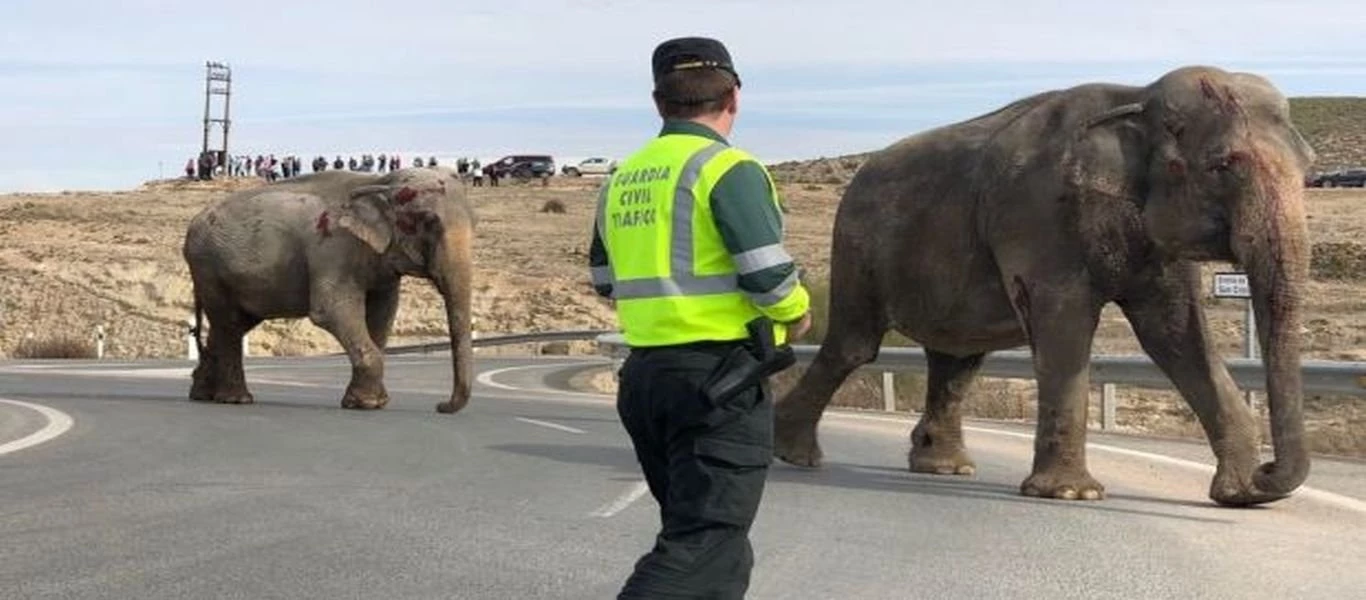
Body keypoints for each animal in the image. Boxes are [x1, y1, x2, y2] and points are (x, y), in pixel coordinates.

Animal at [181, 166, 478, 415]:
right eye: (429, 222)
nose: (441, 406)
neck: (379, 180)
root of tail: (193, 223)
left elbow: (383, 313)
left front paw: (370, 401)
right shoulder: (332, 247)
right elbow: (331, 310)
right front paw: (367, 404)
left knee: (232, 324)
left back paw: (202, 394)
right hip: (208, 268)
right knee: (229, 323)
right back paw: (236, 399)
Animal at [770, 65, 1311, 508]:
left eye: (1308, 166)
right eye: (1224, 165)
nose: (1267, 472)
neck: (1137, 97)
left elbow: (1177, 335)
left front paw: (1241, 497)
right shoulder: (1038, 214)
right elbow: (1064, 324)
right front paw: (1072, 494)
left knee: (958, 359)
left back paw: (944, 467)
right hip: (856, 244)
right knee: (856, 346)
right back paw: (795, 454)